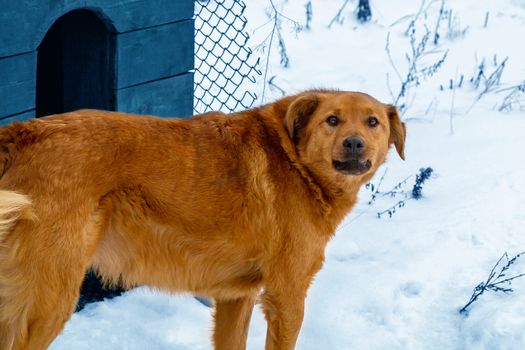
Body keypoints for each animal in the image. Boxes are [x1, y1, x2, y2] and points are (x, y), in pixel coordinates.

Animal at [0, 91, 406, 350]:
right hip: (49, 300)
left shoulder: (236, 296)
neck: (295, 160)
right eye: (332, 121)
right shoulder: (287, 298)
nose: (354, 143)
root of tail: (22, 132)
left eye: (372, 122)